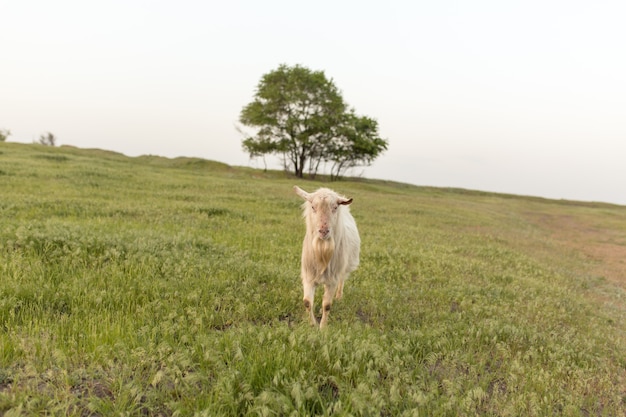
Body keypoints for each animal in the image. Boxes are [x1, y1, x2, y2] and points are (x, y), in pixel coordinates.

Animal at [294, 186, 358, 328]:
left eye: (335, 207)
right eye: (313, 207)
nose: (323, 231)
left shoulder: (332, 278)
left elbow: (327, 305)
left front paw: (323, 327)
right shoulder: (308, 276)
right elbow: (307, 302)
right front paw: (312, 325)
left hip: (343, 268)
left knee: (341, 281)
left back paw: (339, 297)